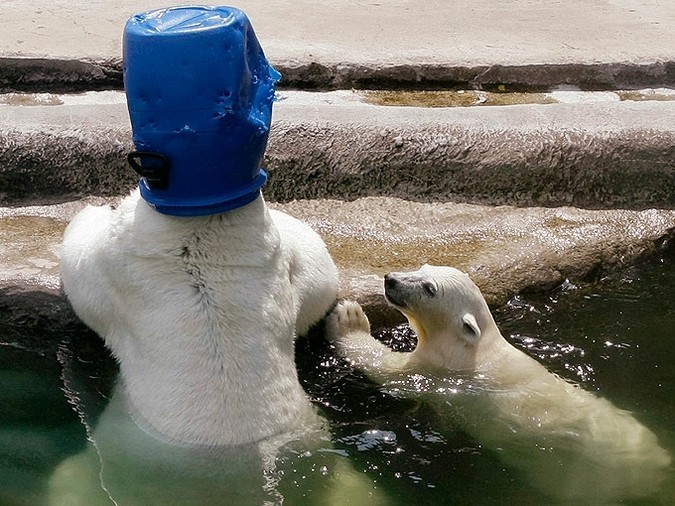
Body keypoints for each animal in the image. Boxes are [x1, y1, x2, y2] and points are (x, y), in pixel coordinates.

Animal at [326, 264, 672, 502]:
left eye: (429, 288)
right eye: (423, 266)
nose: (391, 280)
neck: (474, 346)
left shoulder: (439, 372)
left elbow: (388, 369)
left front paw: (349, 317)